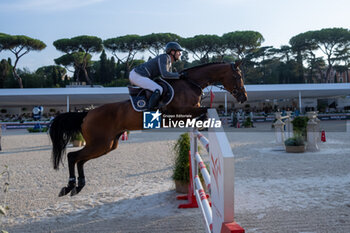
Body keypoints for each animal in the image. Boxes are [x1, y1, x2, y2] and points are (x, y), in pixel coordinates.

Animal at [49, 60, 247, 197]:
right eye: (238, 77)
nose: (243, 97)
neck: (191, 83)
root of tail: (87, 113)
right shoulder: (181, 112)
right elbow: (205, 110)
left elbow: (203, 113)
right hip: (100, 143)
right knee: (73, 156)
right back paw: (69, 186)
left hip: (107, 145)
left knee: (80, 160)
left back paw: (78, 186)